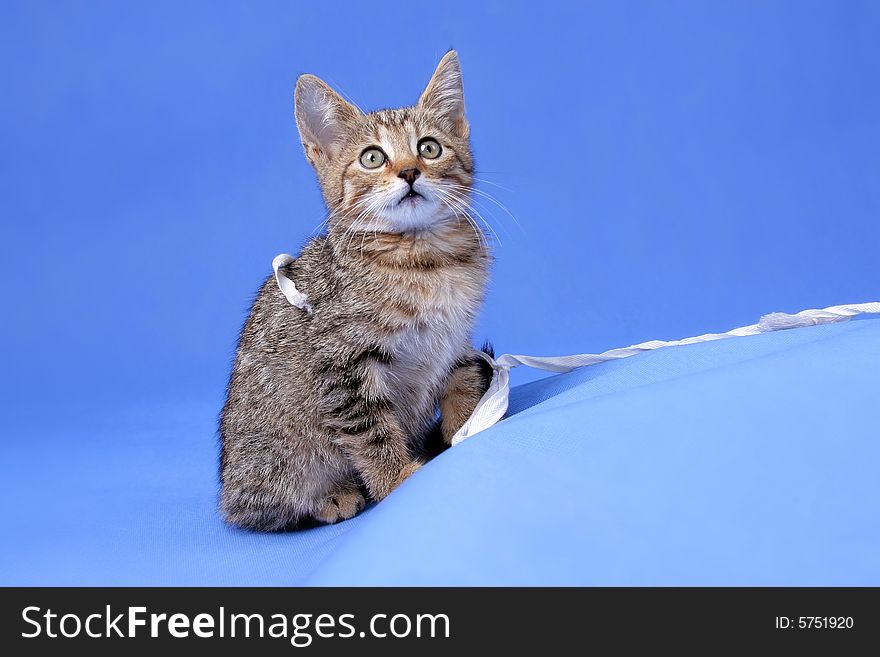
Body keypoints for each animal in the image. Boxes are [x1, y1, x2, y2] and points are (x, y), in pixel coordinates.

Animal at [218, 52, 496, 532]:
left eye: (429, 147)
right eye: (372, 157)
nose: (409, 171)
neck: (422, 256)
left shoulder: (455, 337)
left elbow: (462, 376)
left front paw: (467, 425)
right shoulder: (341, 367)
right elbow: (371, 432)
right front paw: (400, 480)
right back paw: (331, 495)